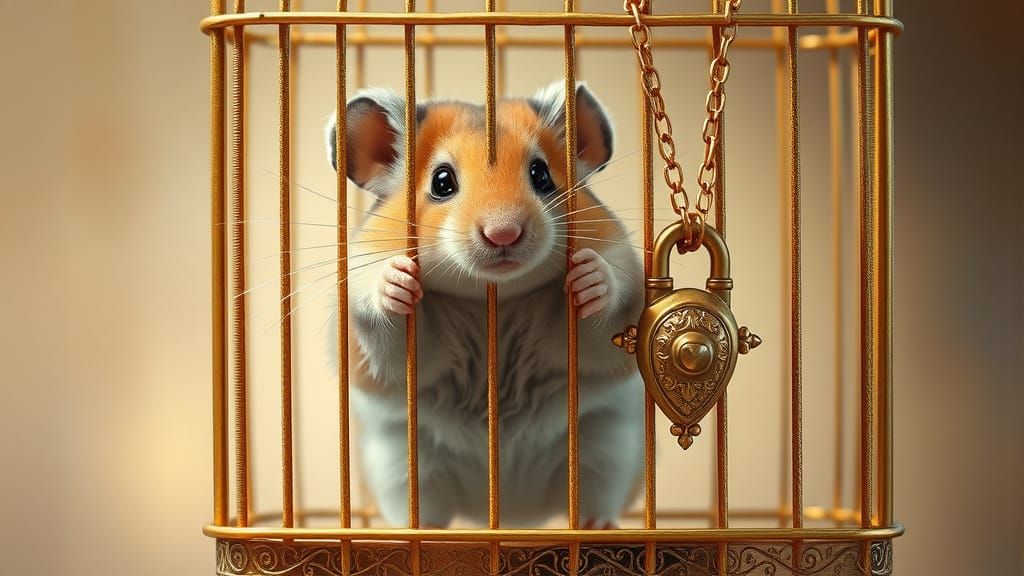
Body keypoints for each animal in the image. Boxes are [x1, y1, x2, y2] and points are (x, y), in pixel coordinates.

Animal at [325, 80, 645, 529]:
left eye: (541, 175)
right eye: (442, 182)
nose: (503, 233)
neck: (492, 296)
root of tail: (508, 512)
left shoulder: (610, 314)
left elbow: (602, 321)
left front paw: (588, 277)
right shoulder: (382, 345)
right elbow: (392, 333)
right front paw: (397, 280)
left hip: (608, 451)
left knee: (595, 499)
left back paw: (593, 526)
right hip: (401, 468)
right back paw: (423, 531)